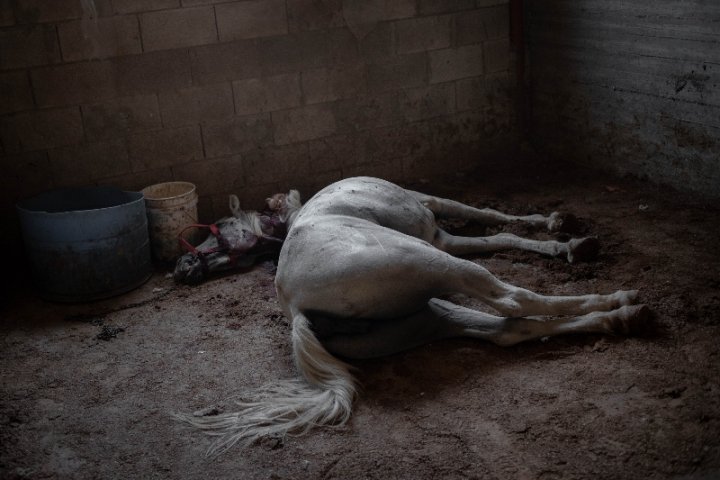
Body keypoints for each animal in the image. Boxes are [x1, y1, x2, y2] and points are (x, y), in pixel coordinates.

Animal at [173, 175, 648, 454]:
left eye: (217, 230)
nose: (182, 270)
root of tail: (296, 310)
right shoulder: (434, 216)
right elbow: (488, 216)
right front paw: (561, 230)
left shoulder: (442, 237)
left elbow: (500, 234)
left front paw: (560, 238)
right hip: (432, 262)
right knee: (512, 301)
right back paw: (619, 299)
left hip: (428, 310)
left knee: (504, 330)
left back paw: (623, 318)